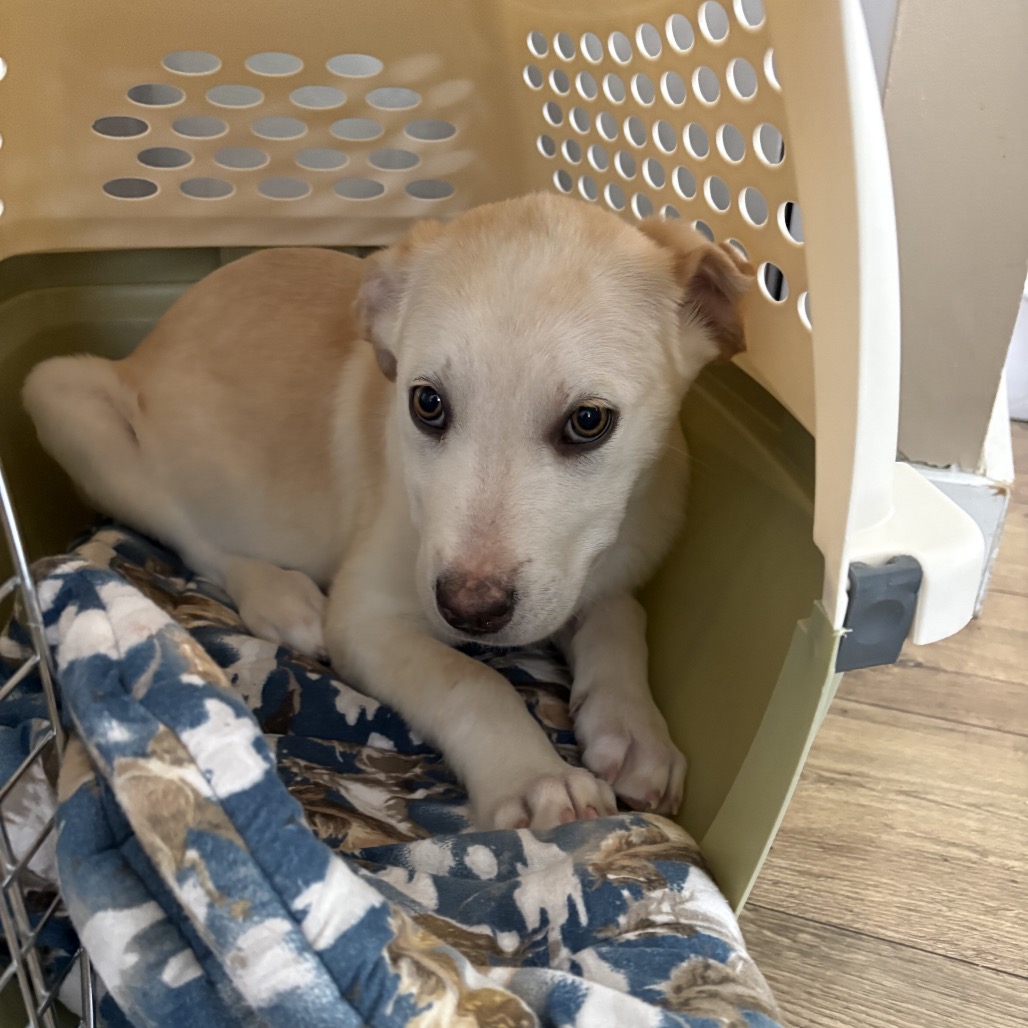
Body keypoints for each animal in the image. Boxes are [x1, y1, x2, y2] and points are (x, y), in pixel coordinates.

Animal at [23, 193, 753, 830]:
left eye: (589, 421)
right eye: (426, 403)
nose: (469, 611)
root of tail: (145, 344)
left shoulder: (601, 570)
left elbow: (621, 616)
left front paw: (634, 729)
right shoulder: (366, 618)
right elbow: (469, 680)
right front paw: (534, 777)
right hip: (60, 394)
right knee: (197, 539)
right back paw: (279, 598)